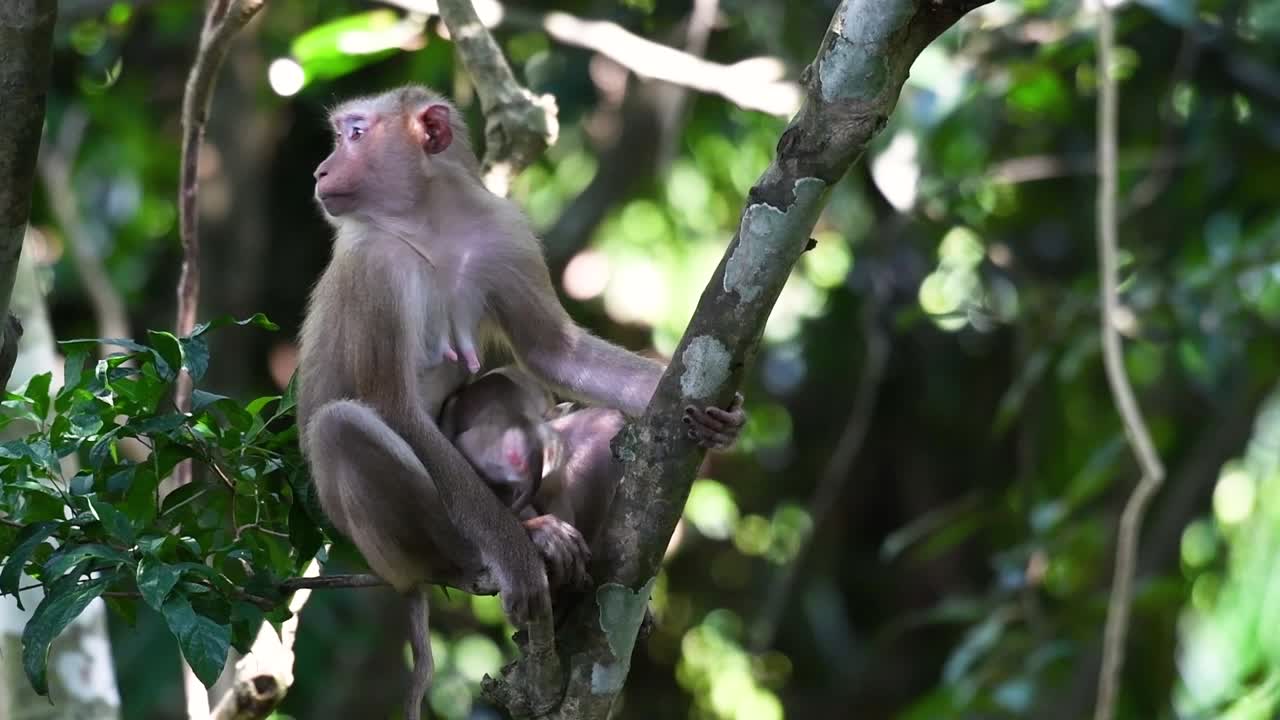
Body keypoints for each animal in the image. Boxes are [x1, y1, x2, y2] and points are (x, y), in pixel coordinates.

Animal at [295, 85, 746, 720]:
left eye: (354, 134)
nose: (320, 169)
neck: (428, 223)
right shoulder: (373, 271)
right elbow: (394, 408)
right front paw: (517, 557)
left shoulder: (502, 233)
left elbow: (556, 354)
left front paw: (722, 418)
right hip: (390, 549)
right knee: (342, 426)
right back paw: (495, 550)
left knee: (596, 429)